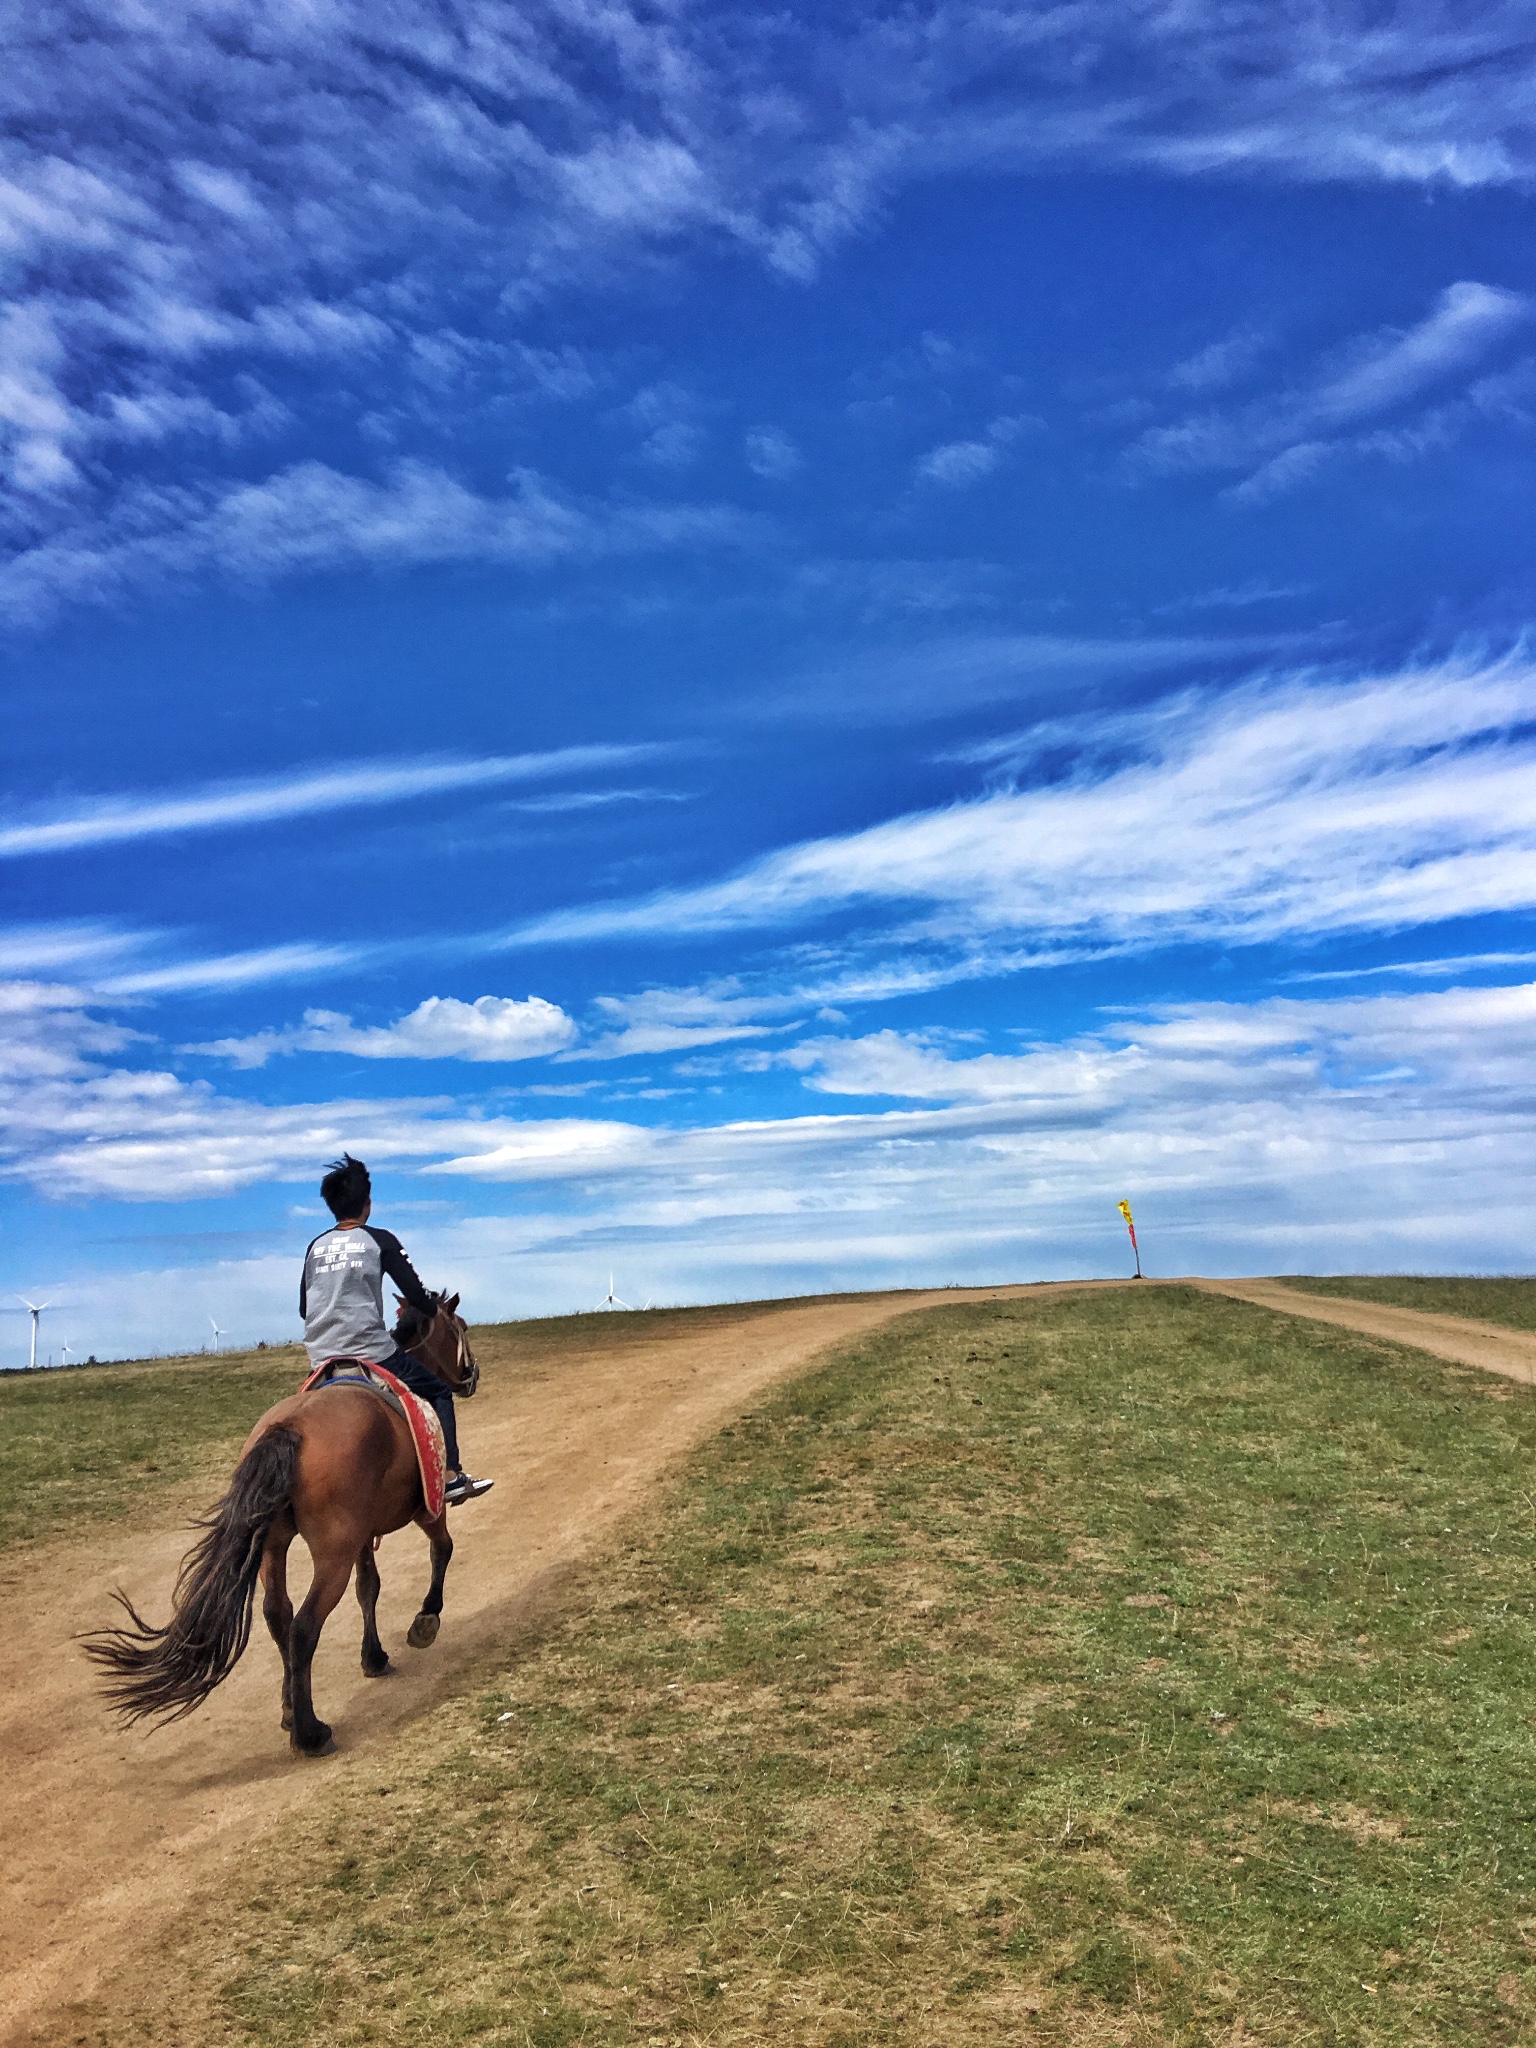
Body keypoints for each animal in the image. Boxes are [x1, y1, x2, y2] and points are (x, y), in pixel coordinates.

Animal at [83, 1294, 479, 1761]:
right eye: (461, 1326)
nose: (471, 1375)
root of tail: (288, 1428)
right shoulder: (427, 1510)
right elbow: (442, 1550)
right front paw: (425, 1621)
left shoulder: (362, 1535)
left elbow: (369, 1587)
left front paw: (374, 1656)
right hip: (332, 1550)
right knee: (304, 1626)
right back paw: (310, 1733)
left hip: (276, 1545)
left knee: (278, 1615)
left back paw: (291, 1710)